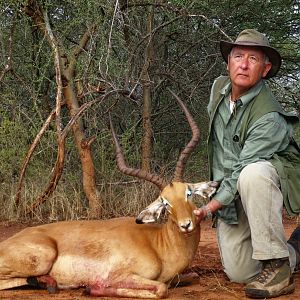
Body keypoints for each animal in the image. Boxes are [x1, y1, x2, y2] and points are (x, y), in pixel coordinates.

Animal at [0, 92, 217, 298]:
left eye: (188, 192)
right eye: (165, 202)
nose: (186, 224)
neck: (158, 245)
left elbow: (193, 277)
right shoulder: (119, 275)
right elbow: (162, 288)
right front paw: (91, 288)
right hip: (43, 257)